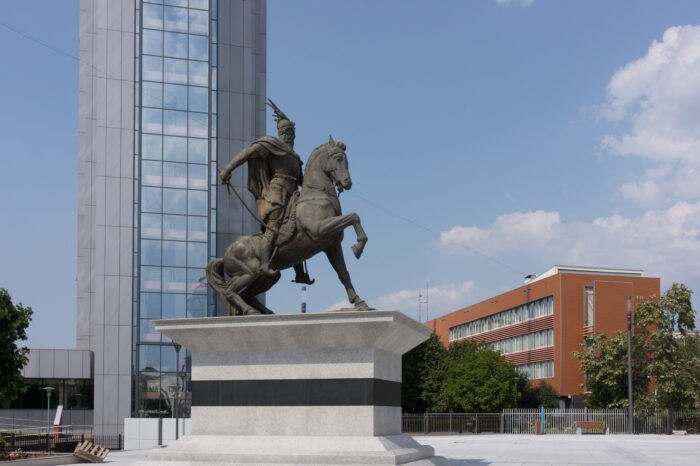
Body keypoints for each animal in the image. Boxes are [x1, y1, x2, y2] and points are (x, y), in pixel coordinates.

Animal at [205, 137, 370, 314]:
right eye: (338, 158)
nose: (347, 182)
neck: (317, 196)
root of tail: (225, 255)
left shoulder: (331, 245)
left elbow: (343, 273)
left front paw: (360, 302)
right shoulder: (319, 229)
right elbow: (353, 217)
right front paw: (359, 247)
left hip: (268, 277)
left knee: (246, 294)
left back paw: (266, 313)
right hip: (249, 273)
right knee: (229, 291)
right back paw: (251, 311)